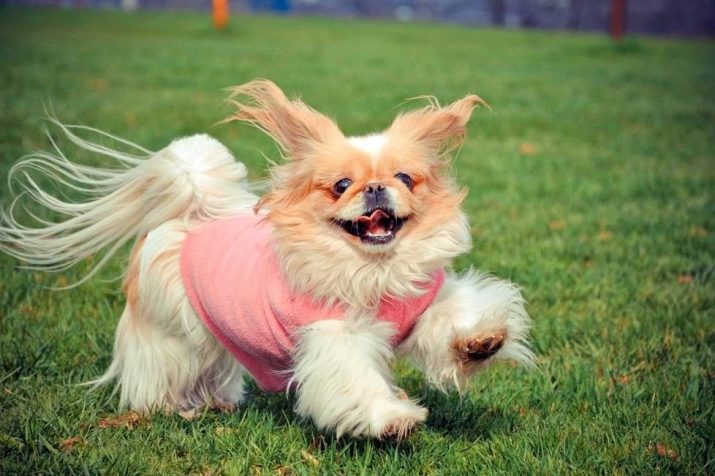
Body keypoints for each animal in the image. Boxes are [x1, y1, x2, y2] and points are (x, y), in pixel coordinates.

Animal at [0, 80, 533, 439]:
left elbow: (454, 319)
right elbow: (357, 383)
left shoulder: (422, 306)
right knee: (161, 371)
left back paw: (218, 402)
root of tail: (189, 216)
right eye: (342, 185)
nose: (376, 186)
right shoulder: (335, 336)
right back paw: (173, 408)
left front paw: (482, 342)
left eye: (404, 177)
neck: (373, 270)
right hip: (173, 335)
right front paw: (393, 417)